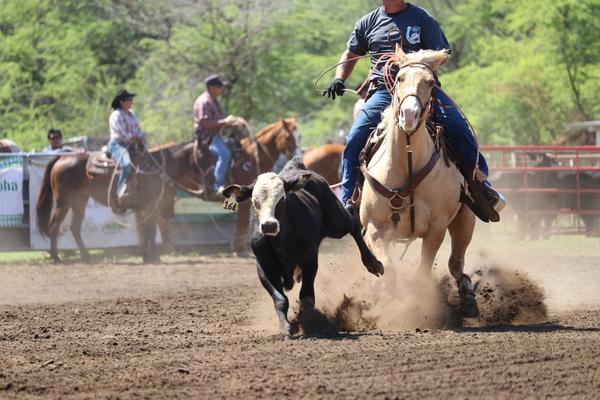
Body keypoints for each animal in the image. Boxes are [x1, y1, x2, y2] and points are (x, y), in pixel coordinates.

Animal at [35, 145, 166, 264]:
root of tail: (61, 158)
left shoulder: (149, 206)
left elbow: (149, 230)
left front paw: (149, 256)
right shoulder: (148, 205)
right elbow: (149, 230)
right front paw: (150, 256)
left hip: (79, 202)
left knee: (74, 227)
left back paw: (86, 257)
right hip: (63, 203)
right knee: (54, 226)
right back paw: (56, 258)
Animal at [156, 117, 298, 253]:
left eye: (299, 136)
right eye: (288, 136)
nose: (295, 155)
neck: (251, 158)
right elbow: (242, 221)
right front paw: (239, 248)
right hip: (167, 192)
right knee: (161, 217)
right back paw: (168, 248)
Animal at [223, 156, 382, 338]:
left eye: (282, 199)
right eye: (255, 201)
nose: (269, 225)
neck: (280, 242)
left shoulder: (310, 260)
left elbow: (306, 298)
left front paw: (308, 323)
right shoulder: (263, 267)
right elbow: (280, 299)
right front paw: (287, 327)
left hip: (337, 221)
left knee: (353, 222)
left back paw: (373, 264)